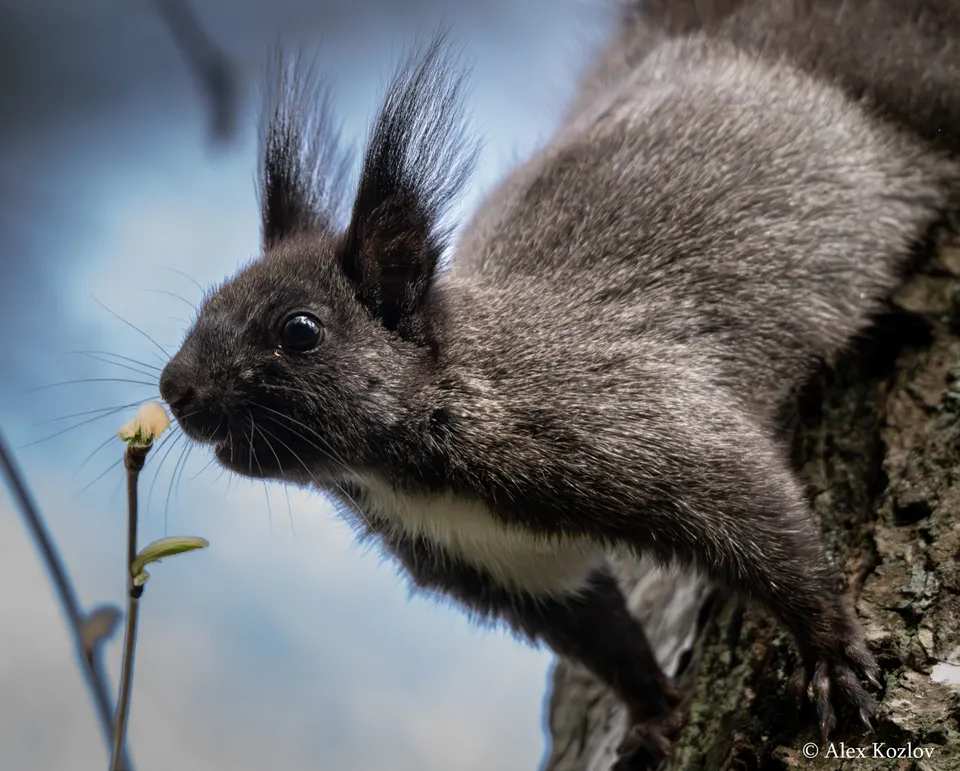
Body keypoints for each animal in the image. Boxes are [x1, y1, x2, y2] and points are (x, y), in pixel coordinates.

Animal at [158, 1, 960, 768]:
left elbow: (760, 522)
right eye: (207, 303)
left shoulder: (628, 414)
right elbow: (600, 634)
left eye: (301, 330)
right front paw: (652, 713)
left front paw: (829, 654)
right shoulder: (506, 565)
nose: (175, 389)